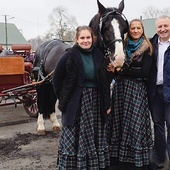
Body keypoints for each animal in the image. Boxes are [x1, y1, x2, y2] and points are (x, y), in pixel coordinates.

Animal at [33, 0, 129, 135]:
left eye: (124, 28)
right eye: (105, 28)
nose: (119, 58)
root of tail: (43, 46)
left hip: (50, 82)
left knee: (51, 99)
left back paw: (55, 123)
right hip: (41, 82)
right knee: (41, 100)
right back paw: (41, 125)